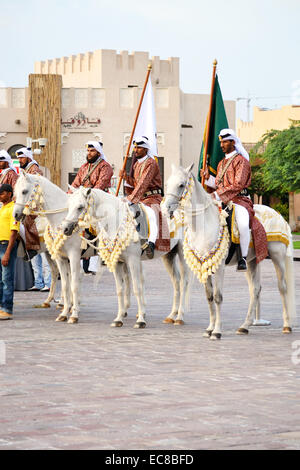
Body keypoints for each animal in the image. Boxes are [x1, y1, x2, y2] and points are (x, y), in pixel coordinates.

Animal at [13, 172, 82, 324]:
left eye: (24, 191)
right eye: (15, 192)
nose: (15, 214)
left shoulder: (74, 255)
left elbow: (74, 283)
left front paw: (74, 314)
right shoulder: (61, 256)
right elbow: (66, 283)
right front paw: (65, 312)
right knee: (56, 273)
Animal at [61, 185, 191, 328]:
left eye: (80, 207)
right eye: (69, 205)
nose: (65, 228)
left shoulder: (133, 261)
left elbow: (137, 287)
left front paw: (141, 320)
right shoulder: (117, 262)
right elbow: (120, 290)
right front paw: (118, 319)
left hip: (182, 254)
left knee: (184, 282)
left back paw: (179, 317)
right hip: (168, 255)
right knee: (176, 282)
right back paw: (172, 315)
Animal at [161, 164, 296, 338]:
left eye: (181, 185)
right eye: (167, 184)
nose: (166, 209)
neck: (204, 225)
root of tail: (279, 216)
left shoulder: (219, 267)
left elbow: (218, 297)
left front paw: (217, 331)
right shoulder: (204, 264)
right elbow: (209, 297)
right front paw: (209, 328)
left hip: (277, 256)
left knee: (282, 287)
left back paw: (286, 325)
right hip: (252, 261)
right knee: (255, 290)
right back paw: (245, 326)